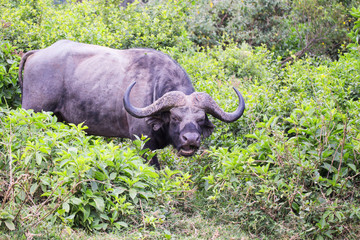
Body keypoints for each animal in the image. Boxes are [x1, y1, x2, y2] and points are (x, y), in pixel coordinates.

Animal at [19, 40, 245, 168]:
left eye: (200, 119)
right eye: (175, 117)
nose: (191, 139)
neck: (156, 87)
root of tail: (36, 53)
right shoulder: (143, 143)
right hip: (34, 111)